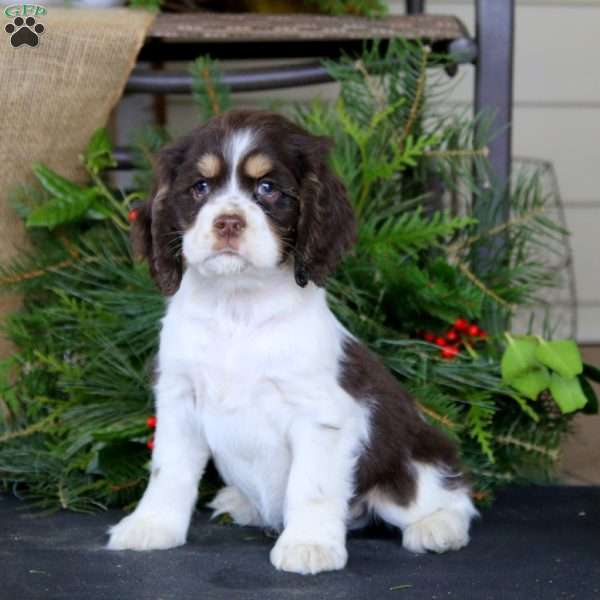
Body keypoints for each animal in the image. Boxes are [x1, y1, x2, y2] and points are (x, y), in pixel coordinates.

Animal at [105, 110, 476, 576]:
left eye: (268, 188)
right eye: (200, 187)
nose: (228, 222)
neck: (237, 309)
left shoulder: (321, 414)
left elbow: (310, 485)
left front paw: (308, 545)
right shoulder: (178, 398)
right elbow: (167, 470)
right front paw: (151, 526)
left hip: (409, 464)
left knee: (448, 493)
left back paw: (437, 528)